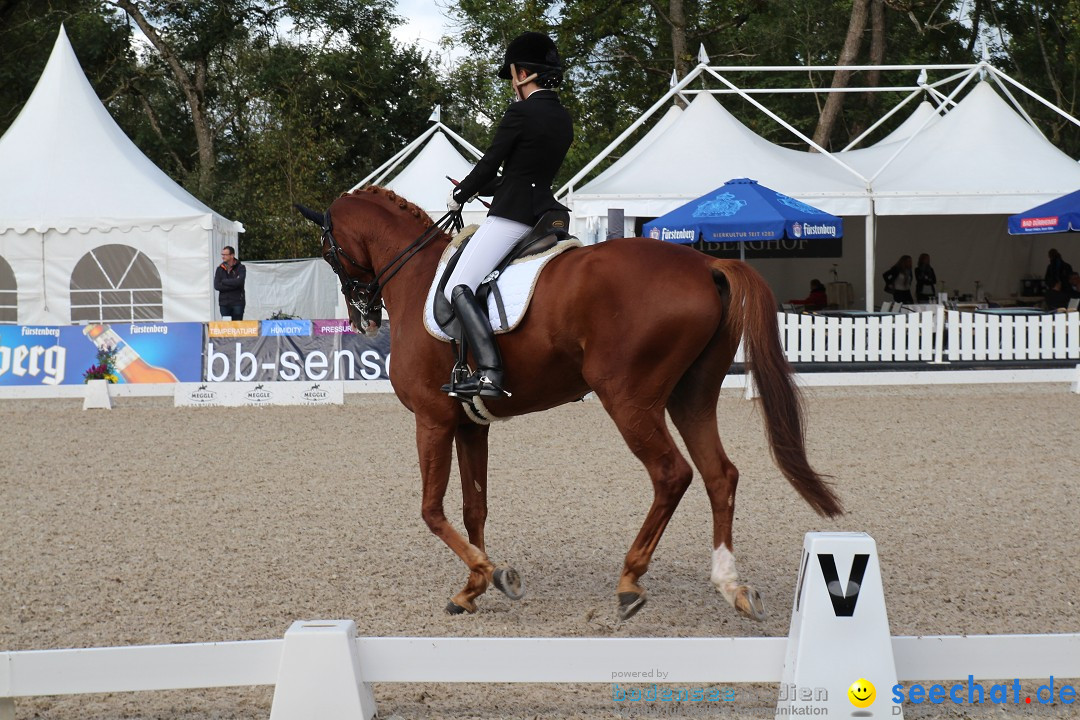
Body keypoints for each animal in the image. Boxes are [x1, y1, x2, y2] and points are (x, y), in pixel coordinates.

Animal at [300, 185, 838, 621]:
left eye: (328, 252)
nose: (363, 317)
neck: (415, 277)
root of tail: (705, 263)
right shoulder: (471, 424)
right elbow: (475, 508)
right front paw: (472, 587)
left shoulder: (432, 420)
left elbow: (432, 510)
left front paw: (492, 574)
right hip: (693, 397)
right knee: (719, 474)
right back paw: (730, 586)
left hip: (629, 399)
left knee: (672, 474)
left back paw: (630, 581)